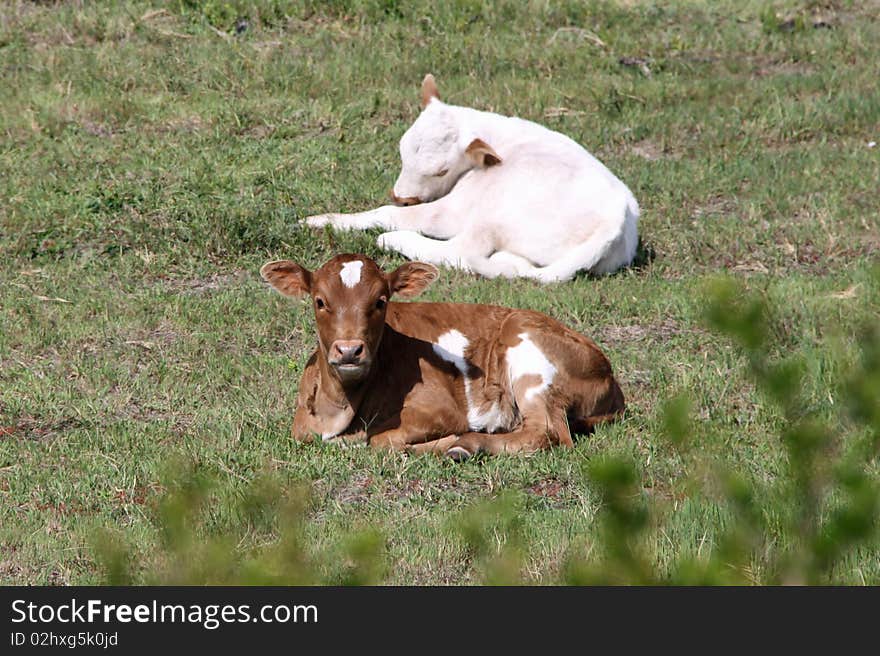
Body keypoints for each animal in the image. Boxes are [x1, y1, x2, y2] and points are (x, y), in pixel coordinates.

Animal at [262, 254, 624, 458]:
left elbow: (381, 441)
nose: (349, 349)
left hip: (530, 357)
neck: (337, 408)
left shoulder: (440, 410)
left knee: (547, 432)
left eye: (381, 300)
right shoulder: (302, 427)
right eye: (320, 301)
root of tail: (607, 371)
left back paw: (466, 445)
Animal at [306, 74, 636, 282]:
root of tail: (615, 222)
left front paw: (321, 220)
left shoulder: (454, 208)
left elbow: (390, 214)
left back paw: (393, 239)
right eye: (401, 151)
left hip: (496, 214)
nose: (402, 197)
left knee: (462, 251)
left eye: (441, 170)